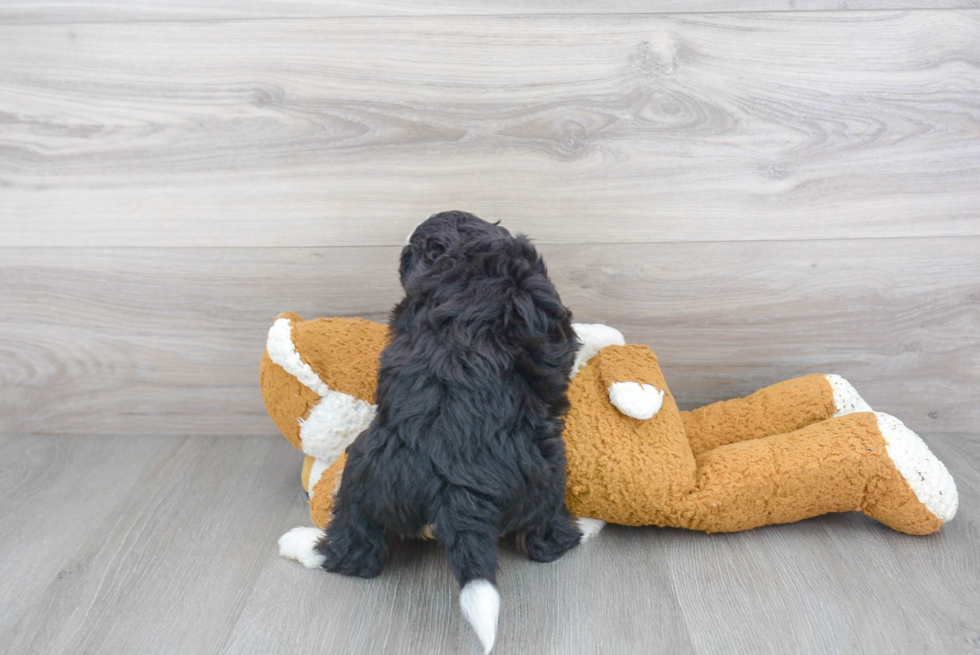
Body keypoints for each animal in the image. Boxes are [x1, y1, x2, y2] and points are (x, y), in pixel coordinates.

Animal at [322, 210, 580, 652]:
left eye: (410, 253)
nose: (404, 246)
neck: (473, 255)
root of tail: (456, 486)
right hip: (548, 470)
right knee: (543, 535)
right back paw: (567, 537)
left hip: (361, 470)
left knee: (357, 538)